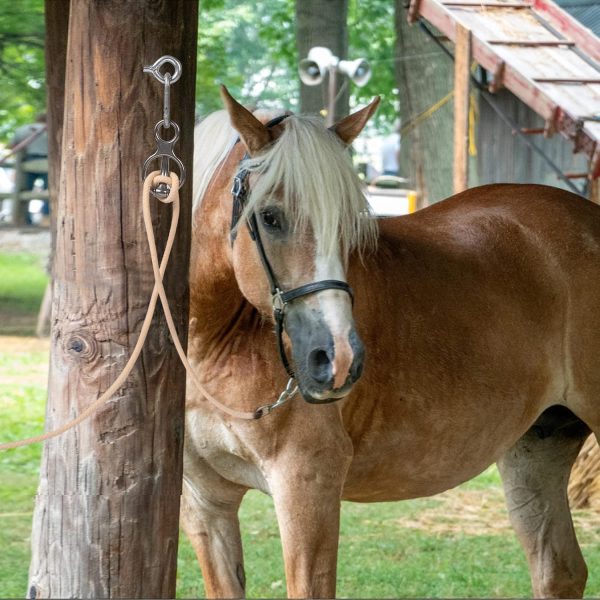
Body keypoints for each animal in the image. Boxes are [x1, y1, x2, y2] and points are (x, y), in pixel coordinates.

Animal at [183, 85, 600, 600]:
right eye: (271, 217)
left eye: (349, 224)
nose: (338, 358)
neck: (213, 344)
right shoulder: (206, 503)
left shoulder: (307, 485)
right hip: (536, 448)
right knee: (559, 571)